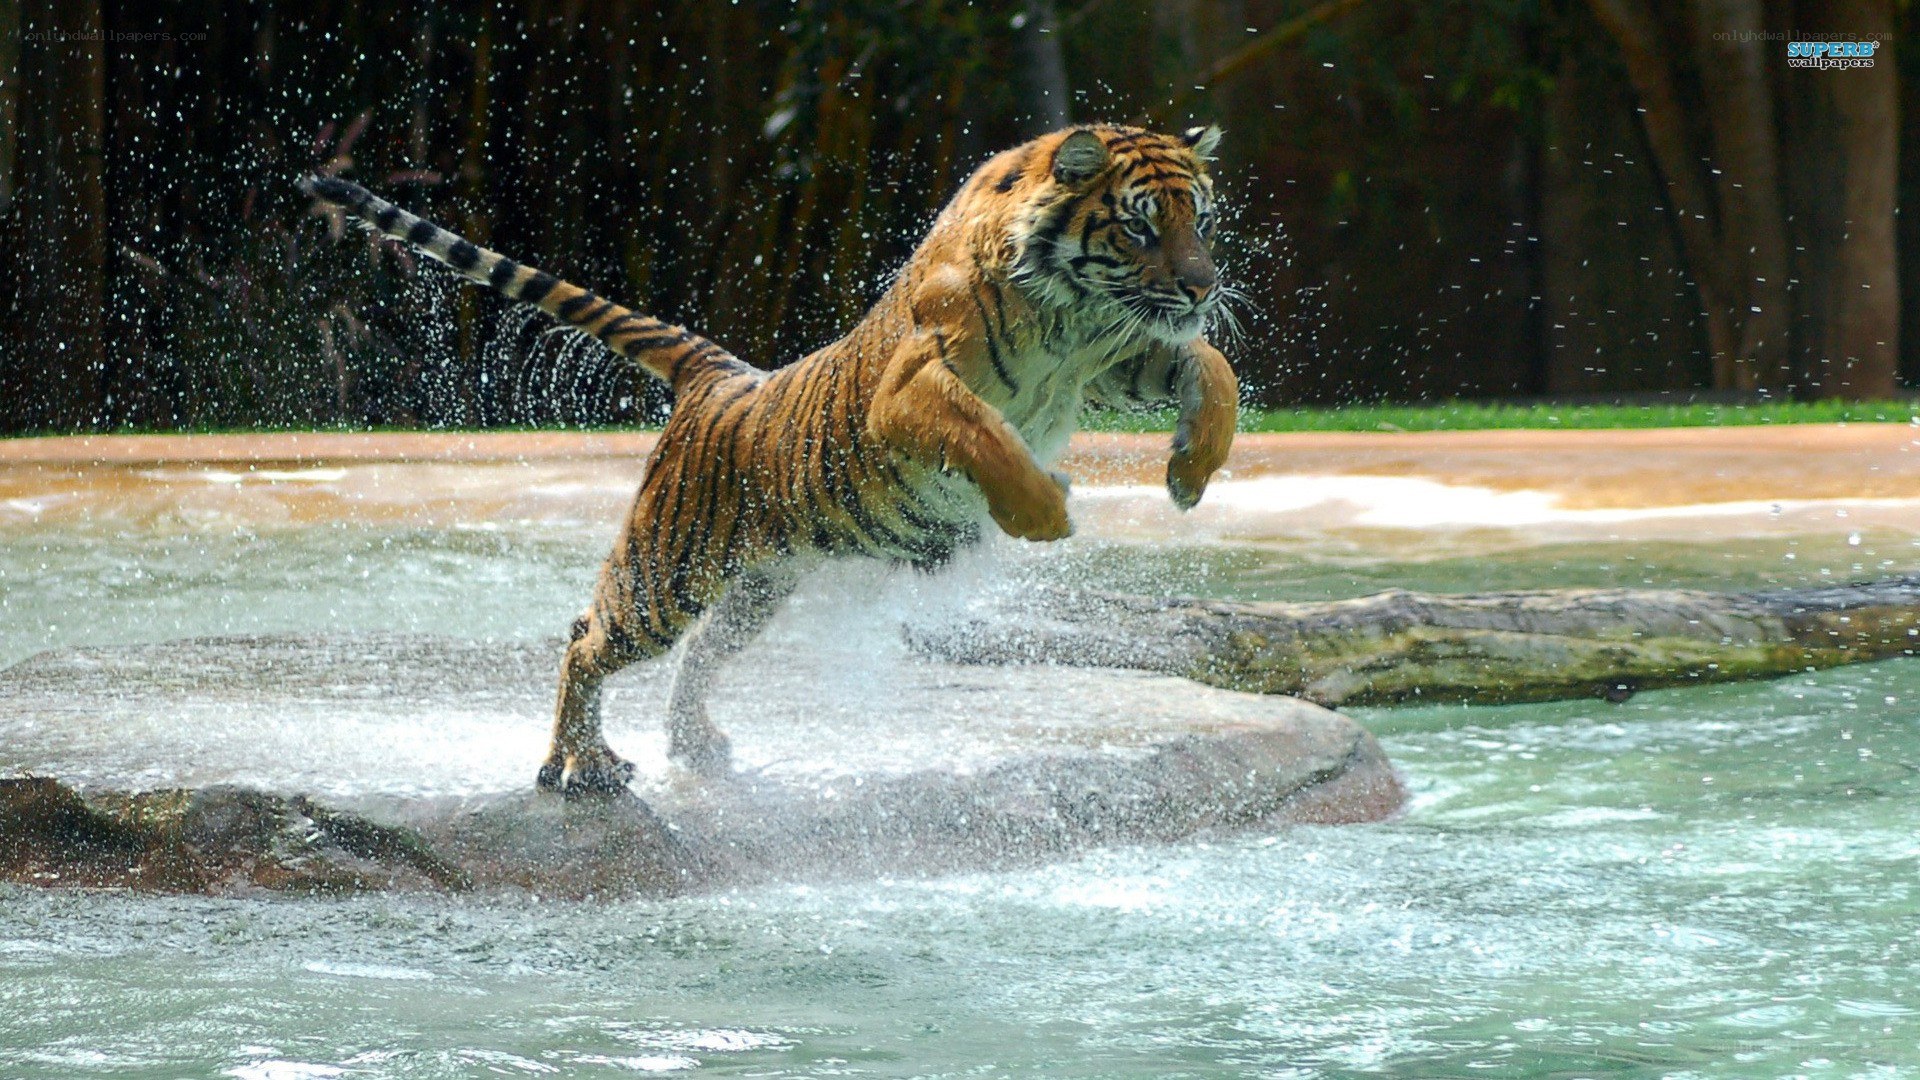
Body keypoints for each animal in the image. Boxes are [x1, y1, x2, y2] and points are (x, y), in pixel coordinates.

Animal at [300, 123, 1238, 796]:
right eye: (1140, 225)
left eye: (1199, 218)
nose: (1204, 286)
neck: (1071, 316)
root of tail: (720, 376)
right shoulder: (911, 389)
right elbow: (987, 437)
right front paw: (1045, 510)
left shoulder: (1118, 358)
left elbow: (1211, 366)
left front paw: (1190, 472)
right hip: (667, 572)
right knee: (585, 639)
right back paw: (580, 767)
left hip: (757, 584)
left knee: (698, 657)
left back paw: (695, 749)